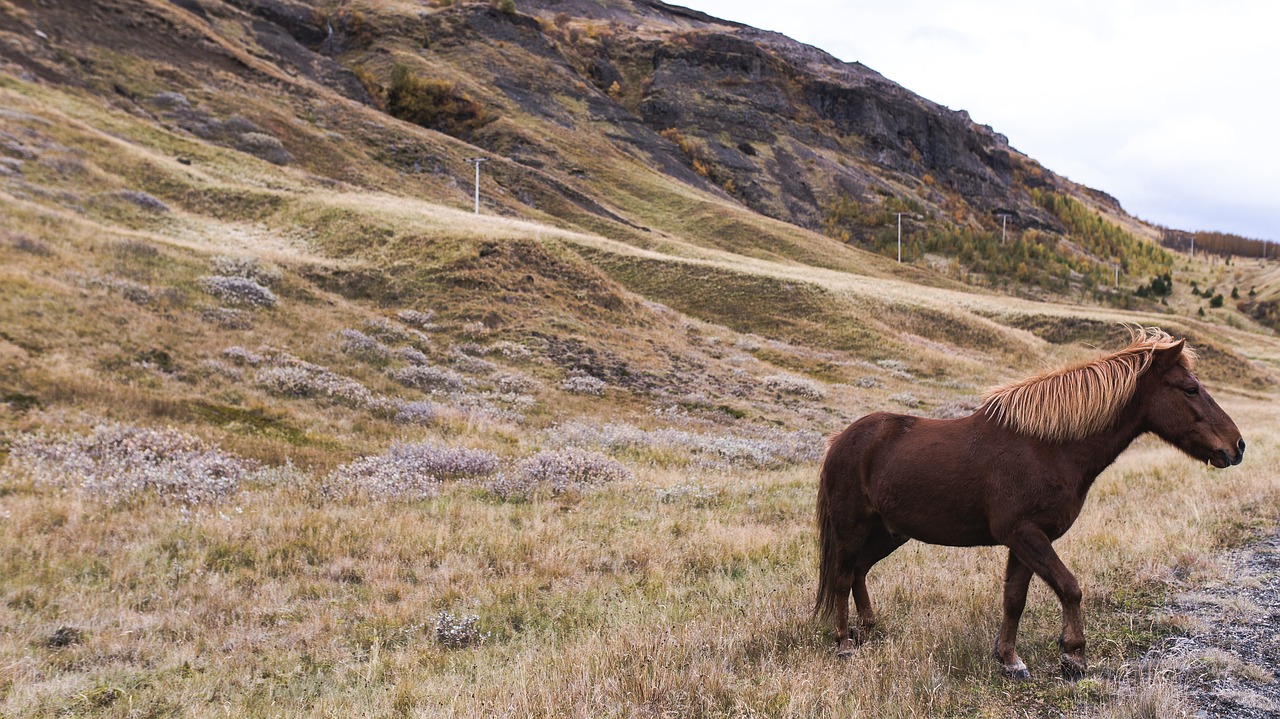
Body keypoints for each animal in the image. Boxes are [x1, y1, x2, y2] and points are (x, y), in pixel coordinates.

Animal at [814, 327, 1244, 675]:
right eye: (1190, 389)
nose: (1237, 446)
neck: (1047, 447)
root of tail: (841, 440)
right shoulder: (1025, 535)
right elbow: (1069, 587)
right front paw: (1073, 654)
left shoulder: (1026, 541)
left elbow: (1014, 600)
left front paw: (1009, 659)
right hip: (853, 529)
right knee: (842, 576)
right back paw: (845, 643)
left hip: (889, 533)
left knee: (859, 572)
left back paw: (868, 629)